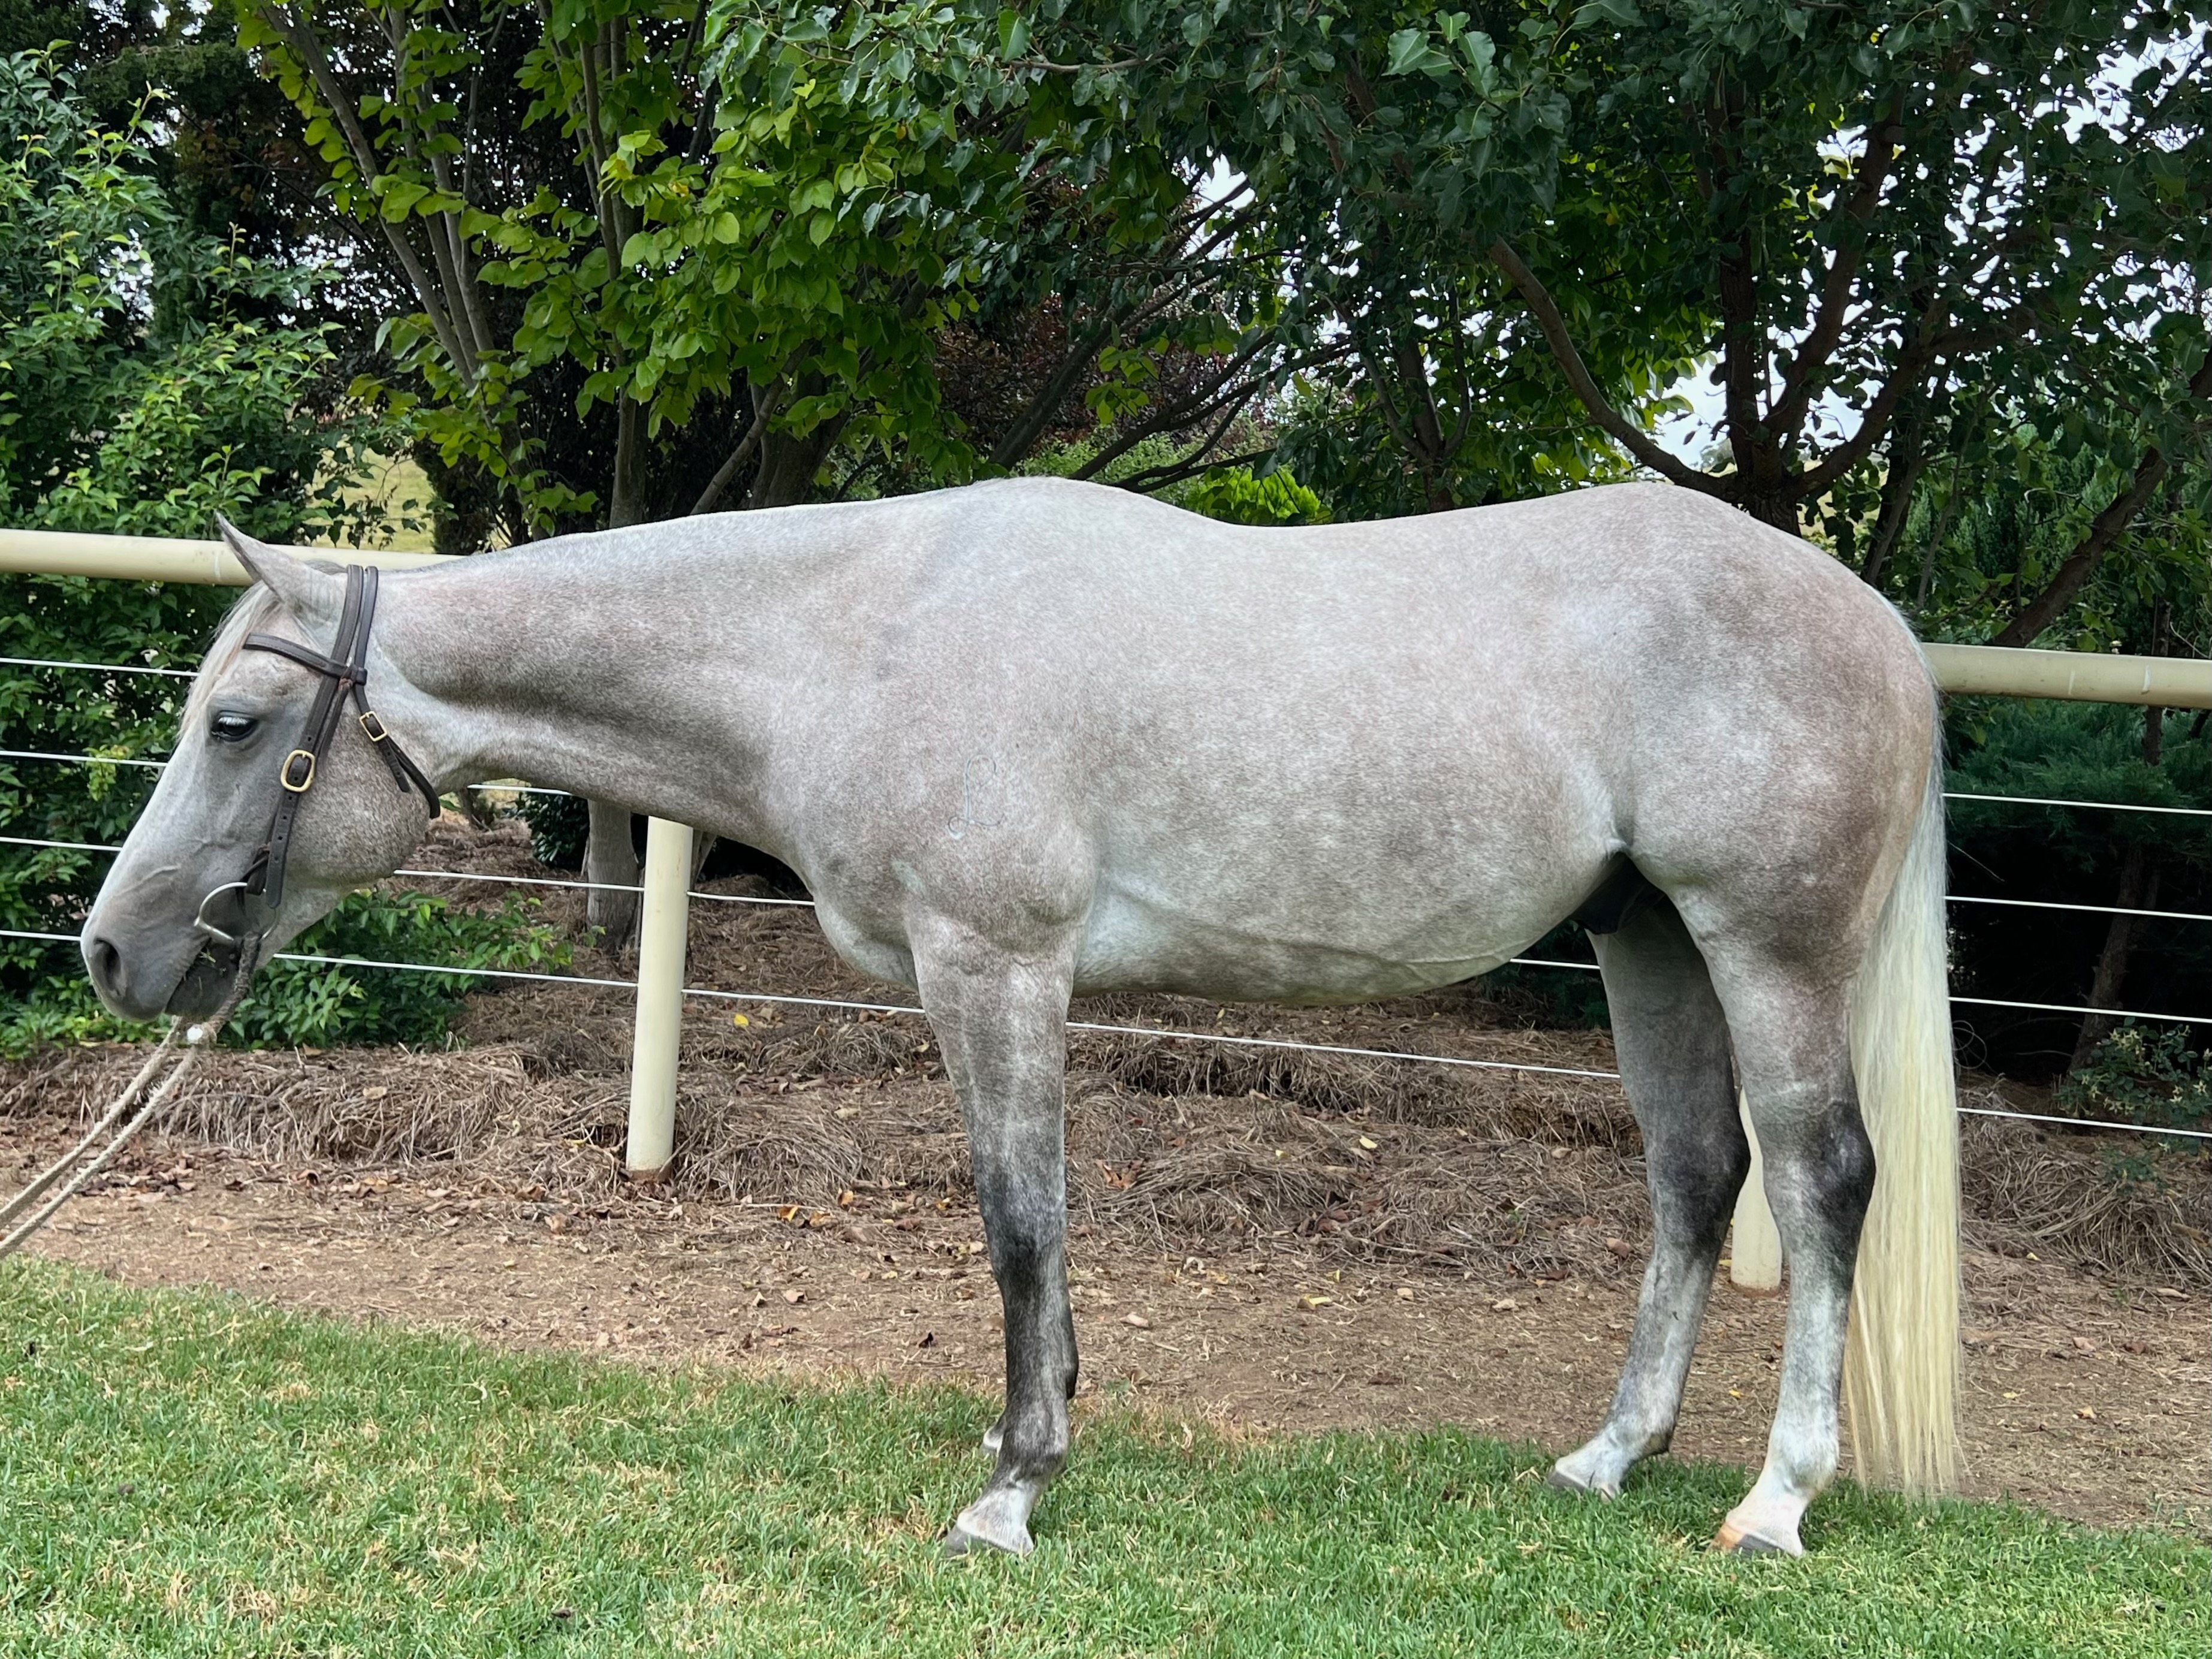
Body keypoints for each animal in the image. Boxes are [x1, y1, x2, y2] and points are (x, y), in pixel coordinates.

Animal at [81, 476, 1959, 1558]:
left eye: (237, 722)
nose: (112, 953)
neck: (861, 630)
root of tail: (1874, 619)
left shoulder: (993, 963)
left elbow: (1017, 1218)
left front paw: (1012, 1488)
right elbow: (1035, 1228)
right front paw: (1037, 1429)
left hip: (1766, 946)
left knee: (1817, 1181)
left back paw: (1774, 1500)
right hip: (1652, 941)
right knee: (1692, 1177)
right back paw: (1608, 1458)